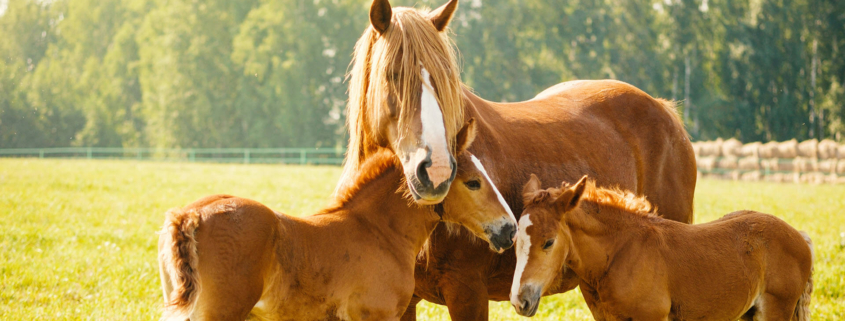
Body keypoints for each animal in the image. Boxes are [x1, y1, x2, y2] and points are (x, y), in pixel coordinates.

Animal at [340, 0, 696, 318]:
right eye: (392, 75)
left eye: (446, 81)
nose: (438, 172)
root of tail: (665, 110)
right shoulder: (404, 302)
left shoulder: (467, 292)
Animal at [512, 175, 816, 320]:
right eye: (515, 242)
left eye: (549, 242)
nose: (519, 301)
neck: (621, 253)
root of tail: (800, 237)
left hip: (775, 312)